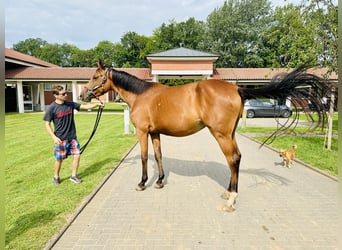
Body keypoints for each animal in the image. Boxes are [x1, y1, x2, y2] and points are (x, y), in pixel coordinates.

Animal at [80, 60, 328, 211]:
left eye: (95, 76)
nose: (83, 95)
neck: (142, 95)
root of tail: (236, 88)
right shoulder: (155, 133)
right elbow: (158, 156)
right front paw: (159, 181)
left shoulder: (142, 132)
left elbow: (143, 157)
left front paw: (142, 183)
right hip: (230, 133)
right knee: (236, 158)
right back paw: (228, 192)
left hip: (221, 134)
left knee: (232, 158)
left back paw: (232, 198)